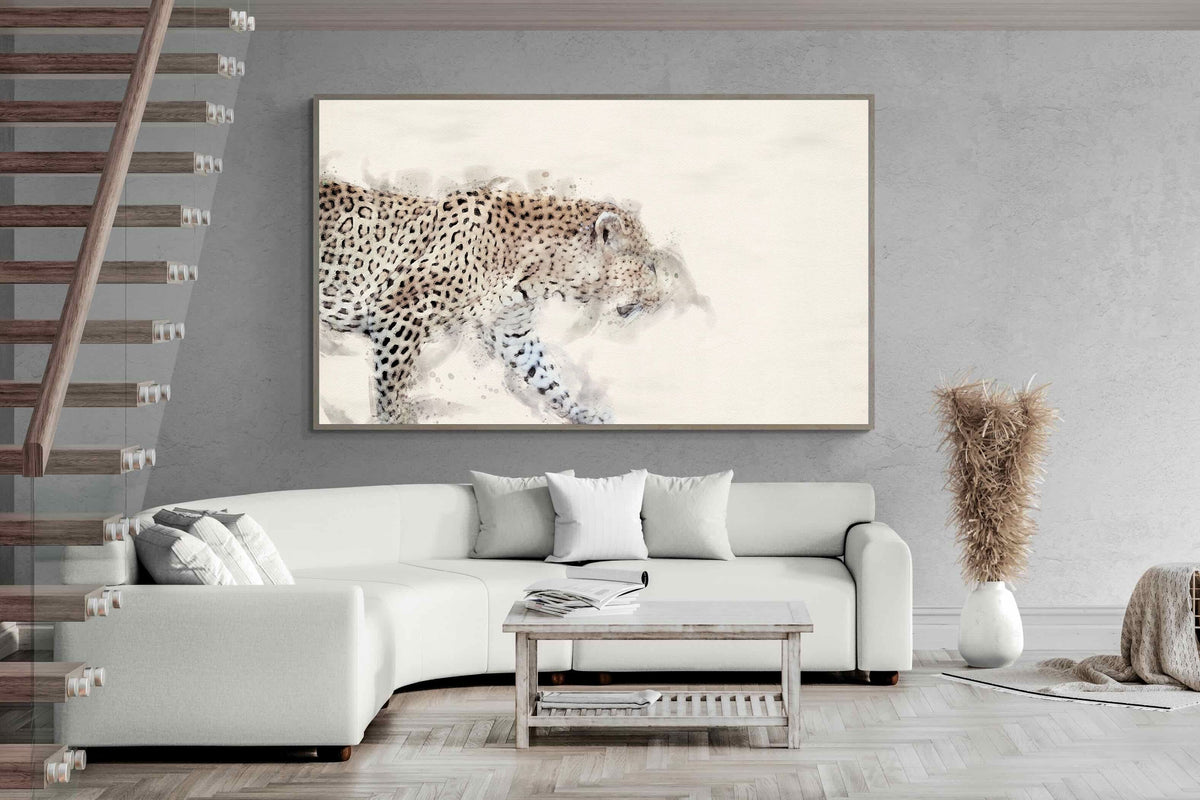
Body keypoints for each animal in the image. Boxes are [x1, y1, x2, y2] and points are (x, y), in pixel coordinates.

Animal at [317, 176, 692, 424]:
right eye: (647, 265)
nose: (661, 298)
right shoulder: (398, 311)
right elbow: (390, 385)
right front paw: (396, 420)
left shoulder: (511, 329)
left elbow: (546, 374)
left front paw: (581, 413)